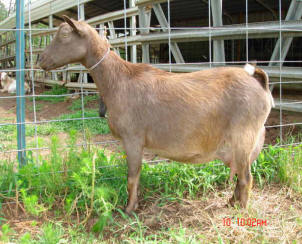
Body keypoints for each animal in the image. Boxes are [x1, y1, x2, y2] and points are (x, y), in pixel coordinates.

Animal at [39, 16, 274, 214]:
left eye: (65, 35)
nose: (40, 60)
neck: (118, 81)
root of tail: (258, 80)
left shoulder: (133, 138)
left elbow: (132, 177)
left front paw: (128, 210)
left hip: (244, 136)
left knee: (246, 178)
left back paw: (240, 211)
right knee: (240, 175)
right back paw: (230, 202)